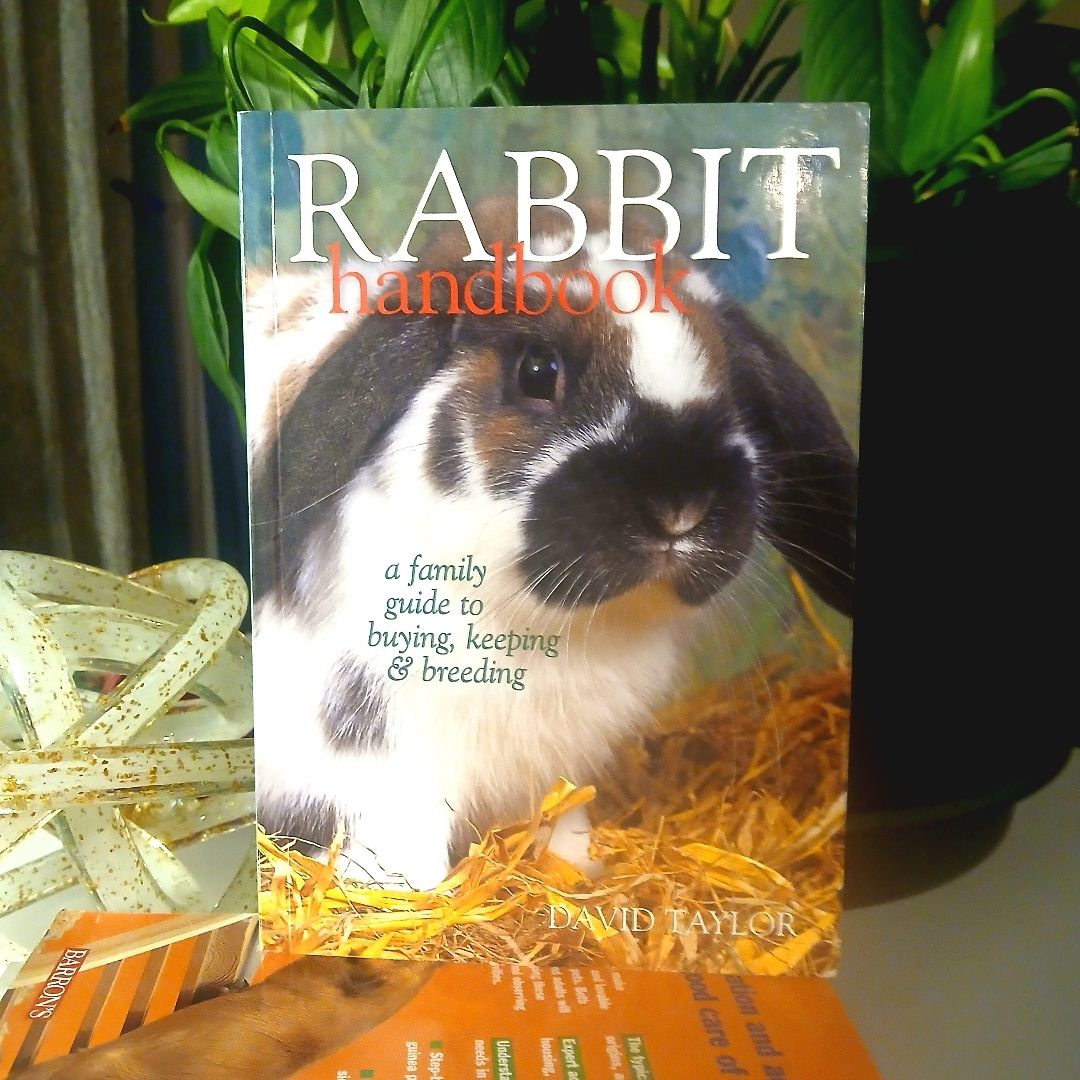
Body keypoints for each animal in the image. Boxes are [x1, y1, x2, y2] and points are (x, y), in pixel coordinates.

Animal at [248, 200, 857, 891]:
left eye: (729, 380)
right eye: (538, 371)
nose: (680, 509)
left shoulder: (554, 766)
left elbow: (562, 815)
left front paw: (576, 867)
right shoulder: (365, 752)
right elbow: (394, 829)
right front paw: (406, 891)